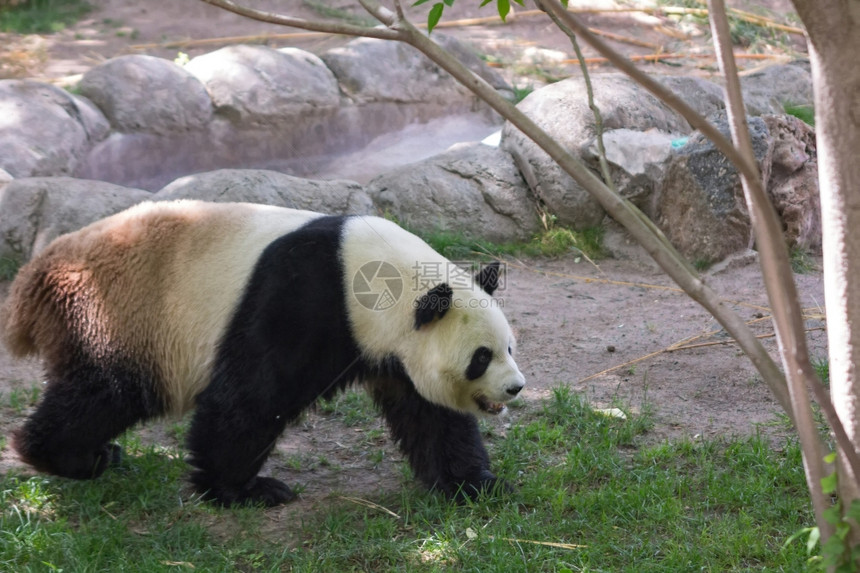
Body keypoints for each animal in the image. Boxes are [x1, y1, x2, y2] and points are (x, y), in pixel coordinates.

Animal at [1, 200, 524, 504]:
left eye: (509, 347)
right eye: (481, 357)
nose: (516, 388)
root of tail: (35, 275)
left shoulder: (393, 348)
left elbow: (430, 414)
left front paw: (476, 485)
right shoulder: (303, 296)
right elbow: (251, 396)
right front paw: (243, 489)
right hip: (116, 313)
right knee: (106, 392)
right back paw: (72, 457)